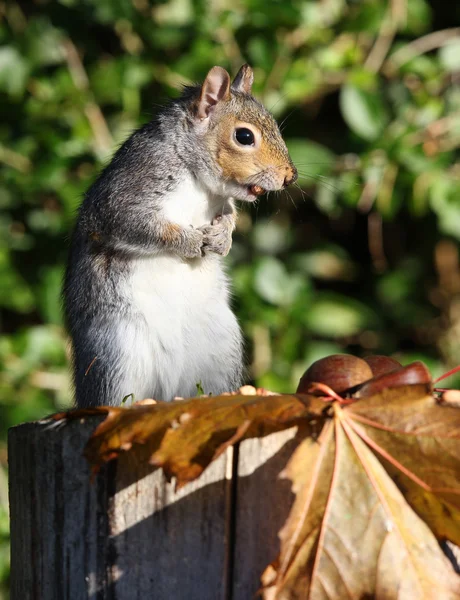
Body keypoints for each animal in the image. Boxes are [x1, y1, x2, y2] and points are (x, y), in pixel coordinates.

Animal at [63, 62, 298, 408]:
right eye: (244, 136)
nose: (289, 177)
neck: (196, 176)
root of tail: (167, 391)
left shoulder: (223, 201)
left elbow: (230, 214)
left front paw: (222, 238)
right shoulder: (126, 191)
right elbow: (134, 224)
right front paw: (191, 241)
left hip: (221, 352)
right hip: (116, 356)